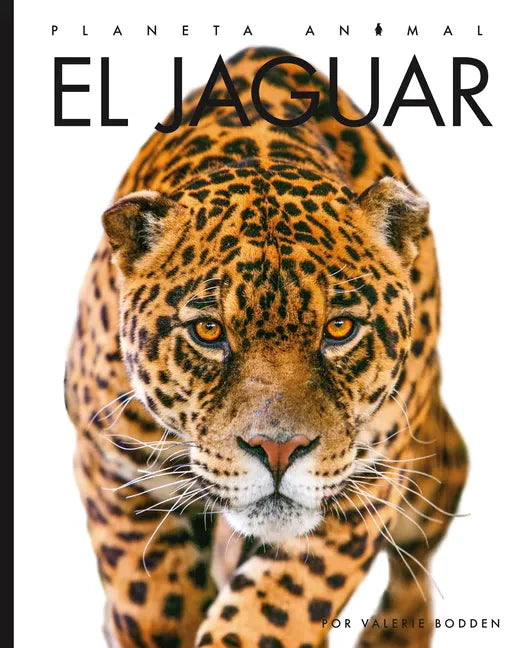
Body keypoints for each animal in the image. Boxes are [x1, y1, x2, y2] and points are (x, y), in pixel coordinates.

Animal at [65, 46, 468, 648]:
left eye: (339, 329)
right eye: (209, 333)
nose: (278, 451)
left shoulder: (366, 484)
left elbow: (272, 611)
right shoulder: (112, 461)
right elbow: (149, 594)